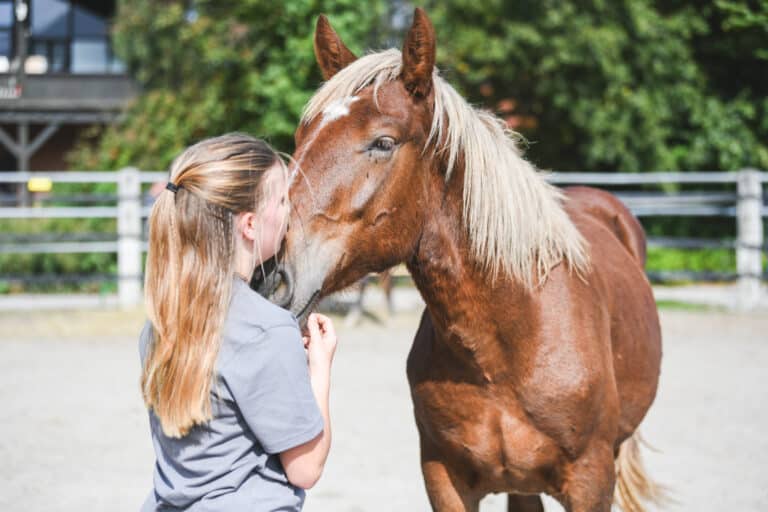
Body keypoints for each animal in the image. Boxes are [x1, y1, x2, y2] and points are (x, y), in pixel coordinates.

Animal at [257, 9, 663, 511]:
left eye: (383, 142)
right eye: (302, 136)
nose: (268, 273)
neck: (506, 348)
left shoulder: (592, 482)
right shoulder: (443, 479)